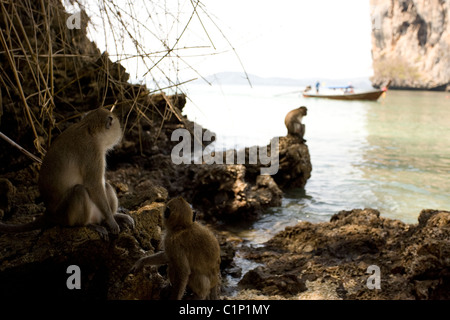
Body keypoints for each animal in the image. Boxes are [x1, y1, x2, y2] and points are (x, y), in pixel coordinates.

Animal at [0, 107, 134, 238]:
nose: (120, 131)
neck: (89, 129)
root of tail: (49, 212)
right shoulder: (92, 151)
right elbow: (93, 185)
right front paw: (111, 221)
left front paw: (114, 216)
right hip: (64, 215)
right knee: (79, 191)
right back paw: (87, 224)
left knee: (104, 185)